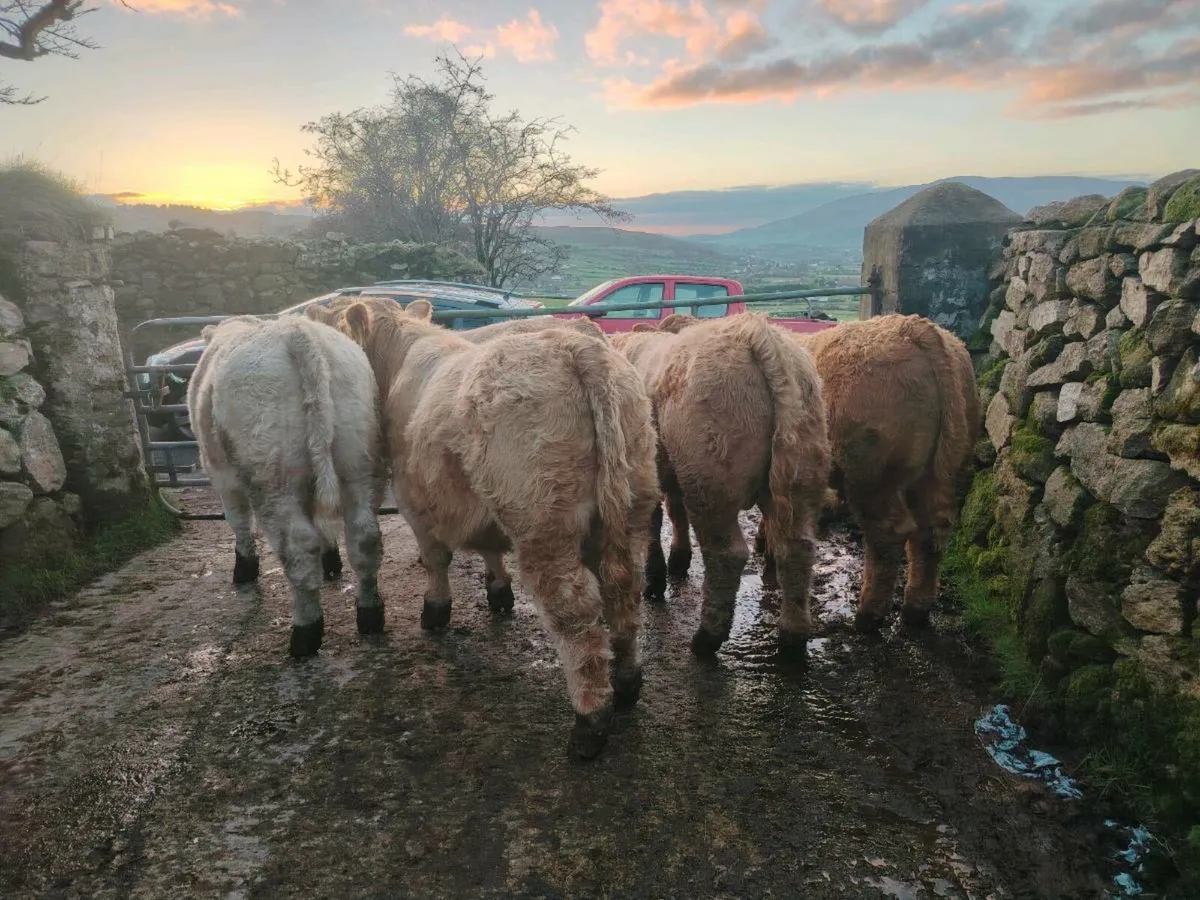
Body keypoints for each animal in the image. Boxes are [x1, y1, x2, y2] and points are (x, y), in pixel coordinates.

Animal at [188, 314, 386, 658]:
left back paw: (305, 634)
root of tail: (296, 331)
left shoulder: (221, 475)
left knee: (298, 547)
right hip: (356, 460)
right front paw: (330, 559)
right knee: (364, 537)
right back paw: (370, 613)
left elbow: (237, 520)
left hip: (272, 475)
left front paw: (244, 568)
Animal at [305, 298, 660, 761]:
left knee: (576, 612)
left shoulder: (416, 499)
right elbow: (489, 548)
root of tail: (576, 349)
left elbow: (435, 557)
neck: (401, 359)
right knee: (624, 590)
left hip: (543, 524)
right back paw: (627, 682)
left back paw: (590, 721)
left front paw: (436, 608)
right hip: (632, 505)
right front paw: (498, 590)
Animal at [610, 312, 830, 658]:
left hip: (710, 477)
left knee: (726, 554)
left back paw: (707, 638)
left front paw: (656, 579)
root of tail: (755, 331)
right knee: (798, 549)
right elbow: (675, 512)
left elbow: (655, 522)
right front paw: (678, 560)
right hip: (802, 469)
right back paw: (792, 640)